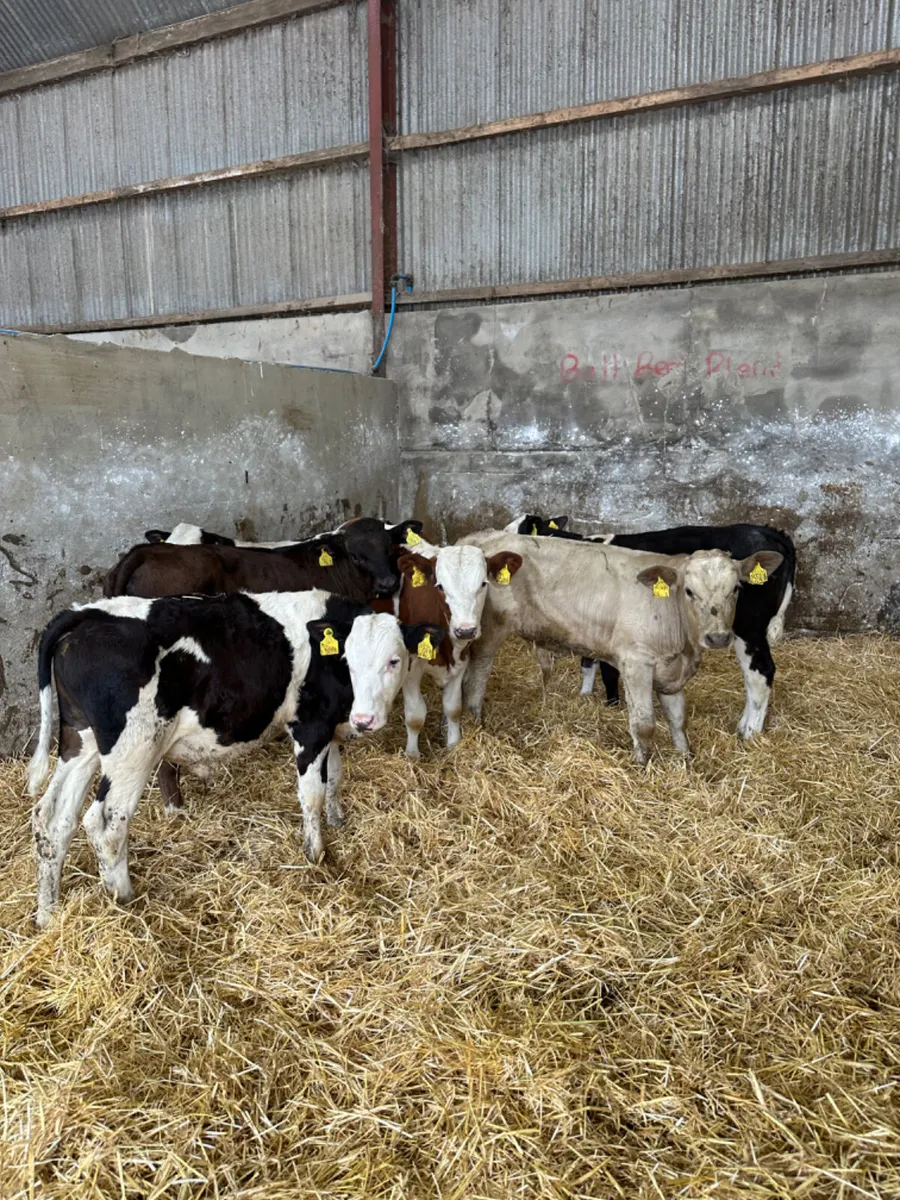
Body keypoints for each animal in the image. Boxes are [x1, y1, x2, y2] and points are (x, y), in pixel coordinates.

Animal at [27, 589, 444, 928]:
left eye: (394, 660)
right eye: (350, 661)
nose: (365, 720)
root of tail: (88, 613)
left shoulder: (331, 728)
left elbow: (335, 777)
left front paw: (337, 821)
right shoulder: (310, 727)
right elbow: (312, 794)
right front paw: (316, 855)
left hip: (80, 742)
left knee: (53, 818)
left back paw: (48, 914)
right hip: (133, 749)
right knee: (106, 824)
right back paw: (125, 901)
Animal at [373, 544, 523, 757]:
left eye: (483, 584)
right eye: (440, 587)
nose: (465, 630)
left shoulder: (461, 660)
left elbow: (453, 708)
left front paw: (454, 744)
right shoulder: (410, 666)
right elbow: (415, 715)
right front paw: (412, 755)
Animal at [456, 532, 783, 765]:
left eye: (736, 589)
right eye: (690, 591)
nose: (717, 637)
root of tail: (478, 538)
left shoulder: (671, 671)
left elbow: (678, 718)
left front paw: (685, 759)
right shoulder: (636, 663)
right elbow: (644, 723)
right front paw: (642, 765)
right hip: (487, 633)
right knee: (475, 679)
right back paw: (478, 725)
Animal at [506, 514, 796, 739]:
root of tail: (770, 532)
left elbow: (608, 671)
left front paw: (611, 705)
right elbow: (588, 662)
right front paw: (585, 696)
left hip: (748, 627)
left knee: (760, 673)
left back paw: (749, 731)